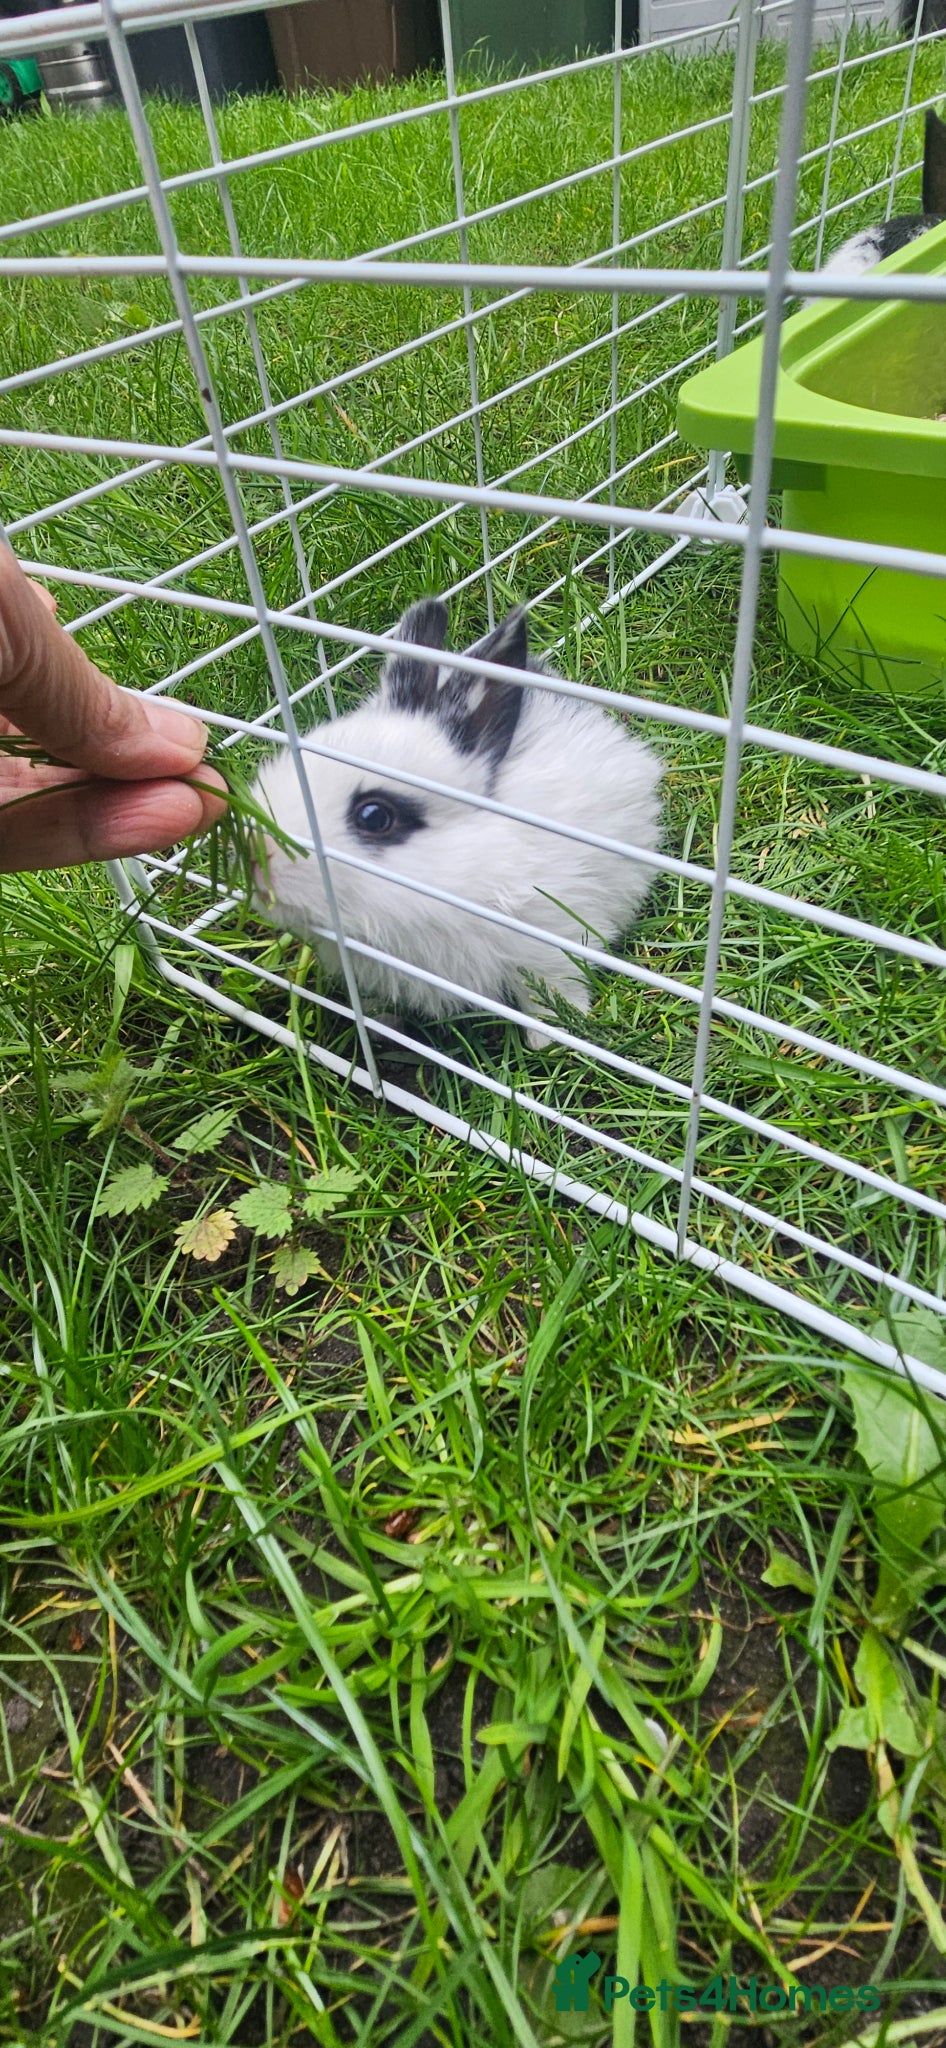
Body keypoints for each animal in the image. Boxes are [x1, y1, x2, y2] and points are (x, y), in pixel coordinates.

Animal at [251, 598, 663, 1048]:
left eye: (374, 816)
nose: (256, 856)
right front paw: (380, 1024)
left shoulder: (550, 939)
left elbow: (552, 991)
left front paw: (548, 1040)